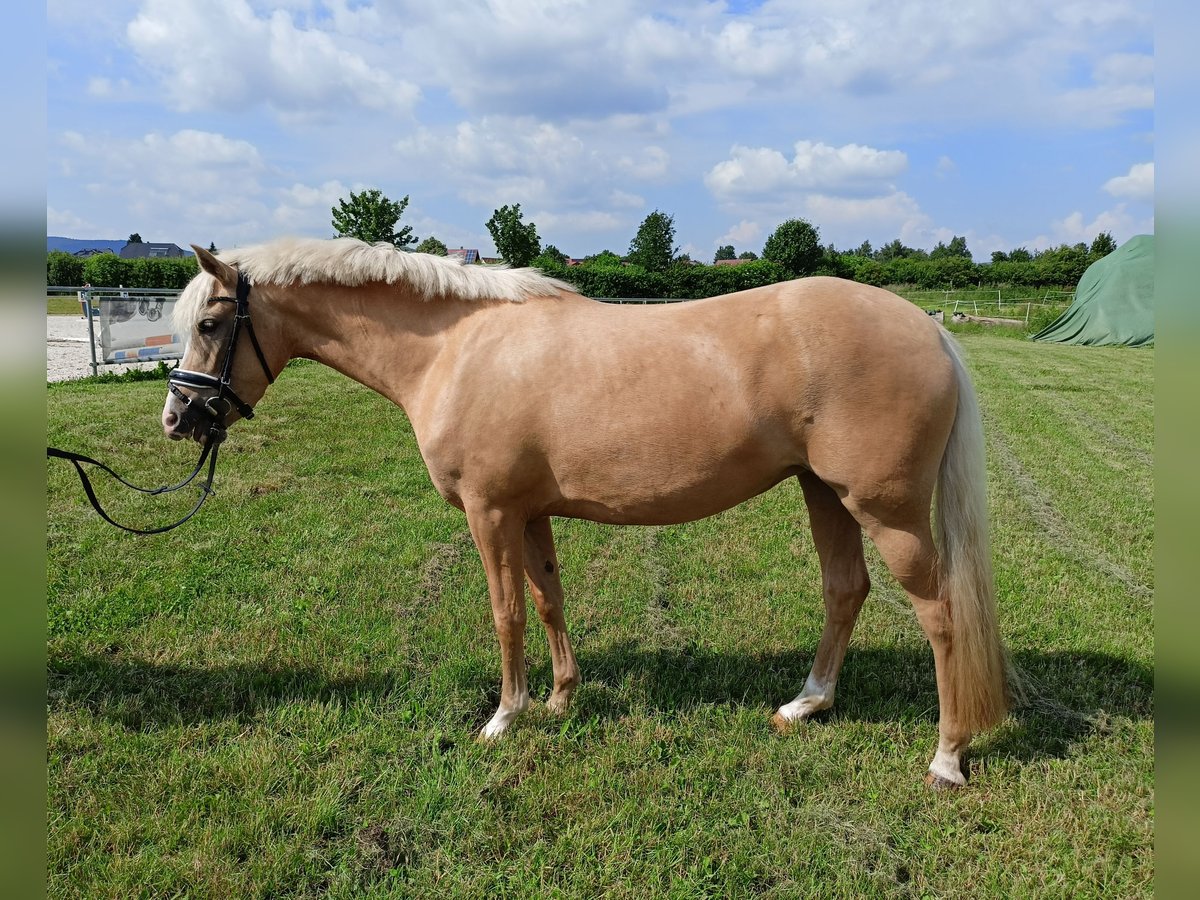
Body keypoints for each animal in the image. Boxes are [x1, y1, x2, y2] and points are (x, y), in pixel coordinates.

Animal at [164, 240, 1008, 787]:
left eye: (211, 324)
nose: (178, 420)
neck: (454, 349)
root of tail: (928, 328)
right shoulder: (529, 512)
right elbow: (548, 600)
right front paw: (562, 700)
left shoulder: (490, 512)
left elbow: (505, 612)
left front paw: (504, 718)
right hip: (823, 493)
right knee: (845, 590)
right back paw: (807, 704)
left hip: (888, 512)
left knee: (940, 616)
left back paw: (947, 758)